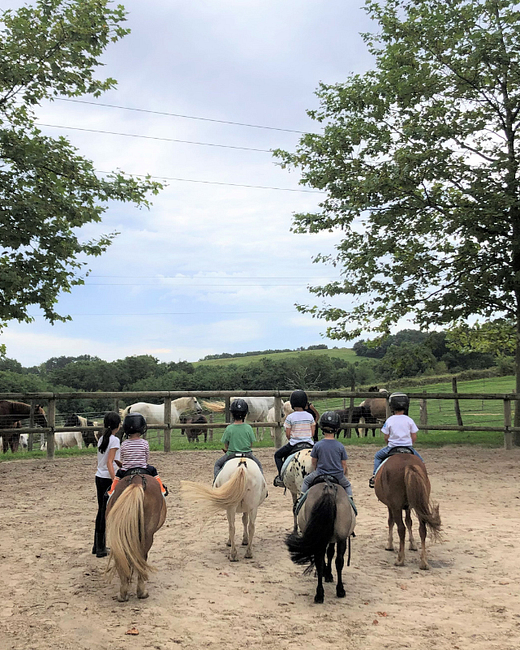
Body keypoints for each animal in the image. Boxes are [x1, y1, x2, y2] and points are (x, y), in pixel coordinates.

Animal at [284, 476, 358, 604]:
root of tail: (329, 489)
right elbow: (330, 554)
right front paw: (328, 575)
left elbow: (328, 554)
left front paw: (327, 574)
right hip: (341, 539)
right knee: (338, 561)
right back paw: (337, 590)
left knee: (323, 561)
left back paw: (321, 593)